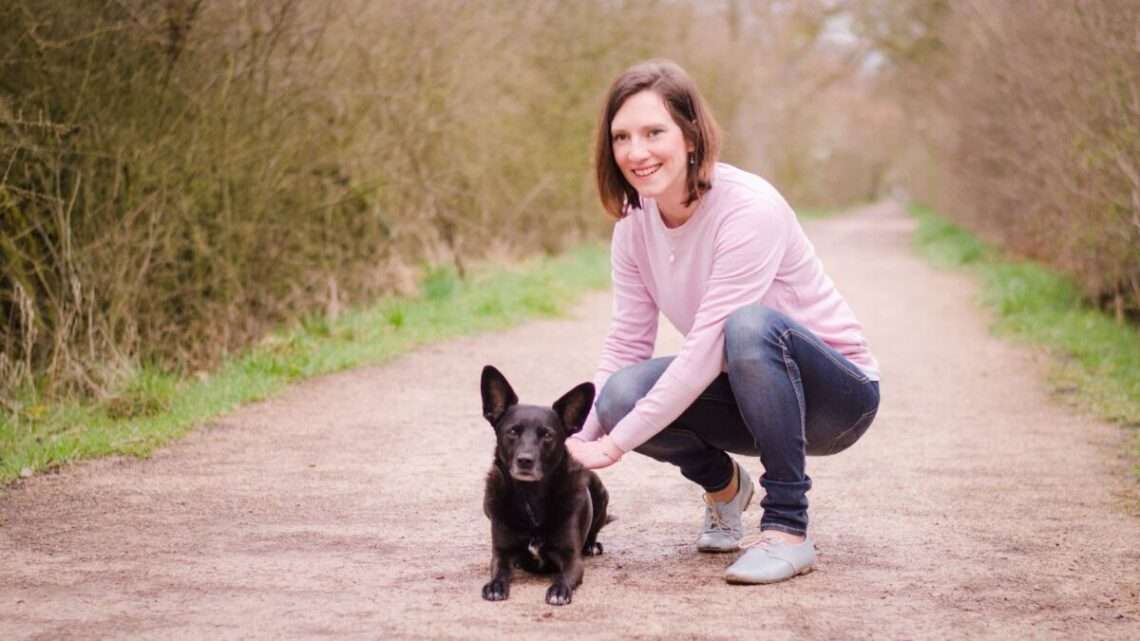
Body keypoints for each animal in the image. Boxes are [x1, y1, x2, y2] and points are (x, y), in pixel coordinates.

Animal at [476, 364, 611, 602]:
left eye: (547, 435)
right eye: (513, 431)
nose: (525, 460)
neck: (530, 497)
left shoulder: (572, 559)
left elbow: (564, 576)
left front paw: (559, 590)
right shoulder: (501, 553)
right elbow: (499, 570)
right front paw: (495, 586)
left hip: (601, 493)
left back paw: (592, 544)